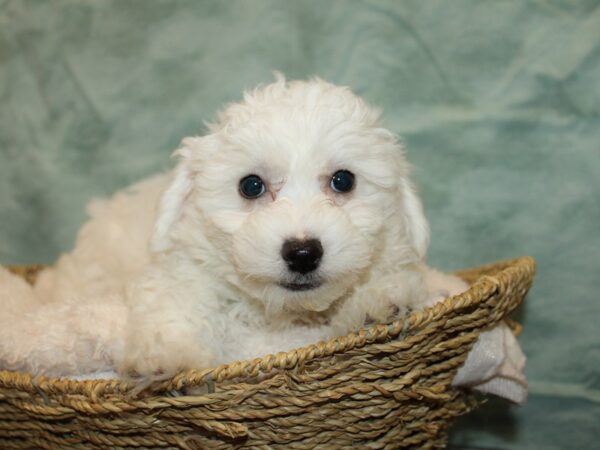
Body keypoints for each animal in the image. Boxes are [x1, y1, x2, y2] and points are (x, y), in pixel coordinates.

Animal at [0, 78, 442, 380]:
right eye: (251, 186)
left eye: (343, 181)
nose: (302, 252)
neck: (279, 313)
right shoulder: (182, 266)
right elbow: (177, 298)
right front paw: (166, 351)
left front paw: (380, 300)